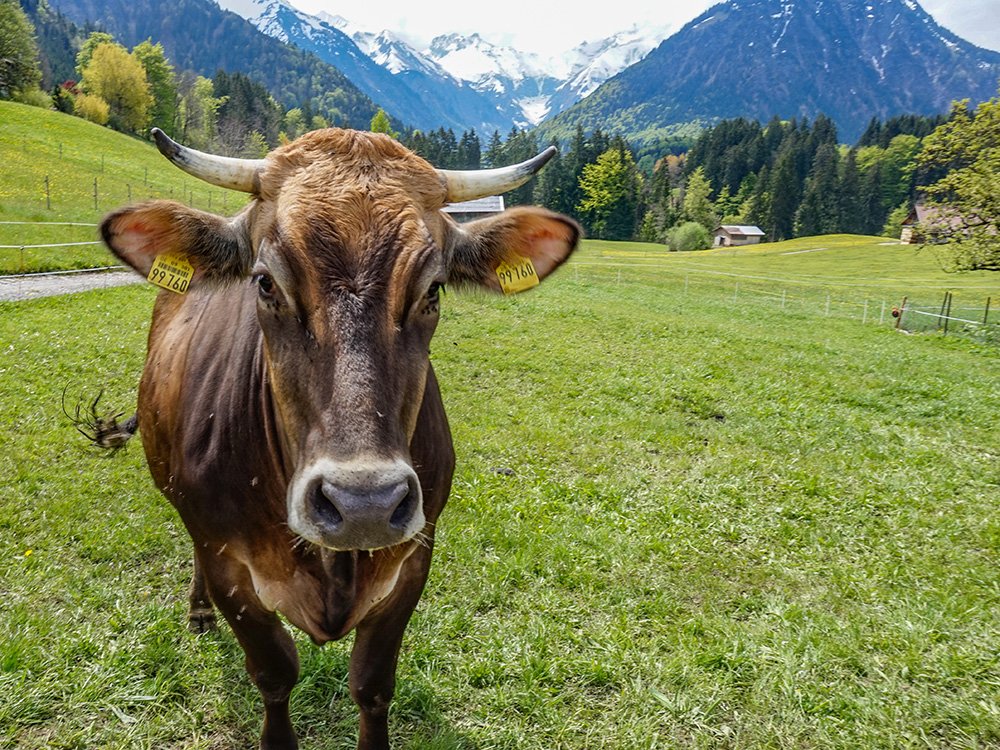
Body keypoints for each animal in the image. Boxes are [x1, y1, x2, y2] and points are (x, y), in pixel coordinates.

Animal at [97, 129, 584, 750]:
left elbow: (372, 683)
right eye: (265, 283)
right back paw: (198, 611)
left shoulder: (413, 556)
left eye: (434, 291)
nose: (364, 504)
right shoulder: (228, 561)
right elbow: (274, 672)